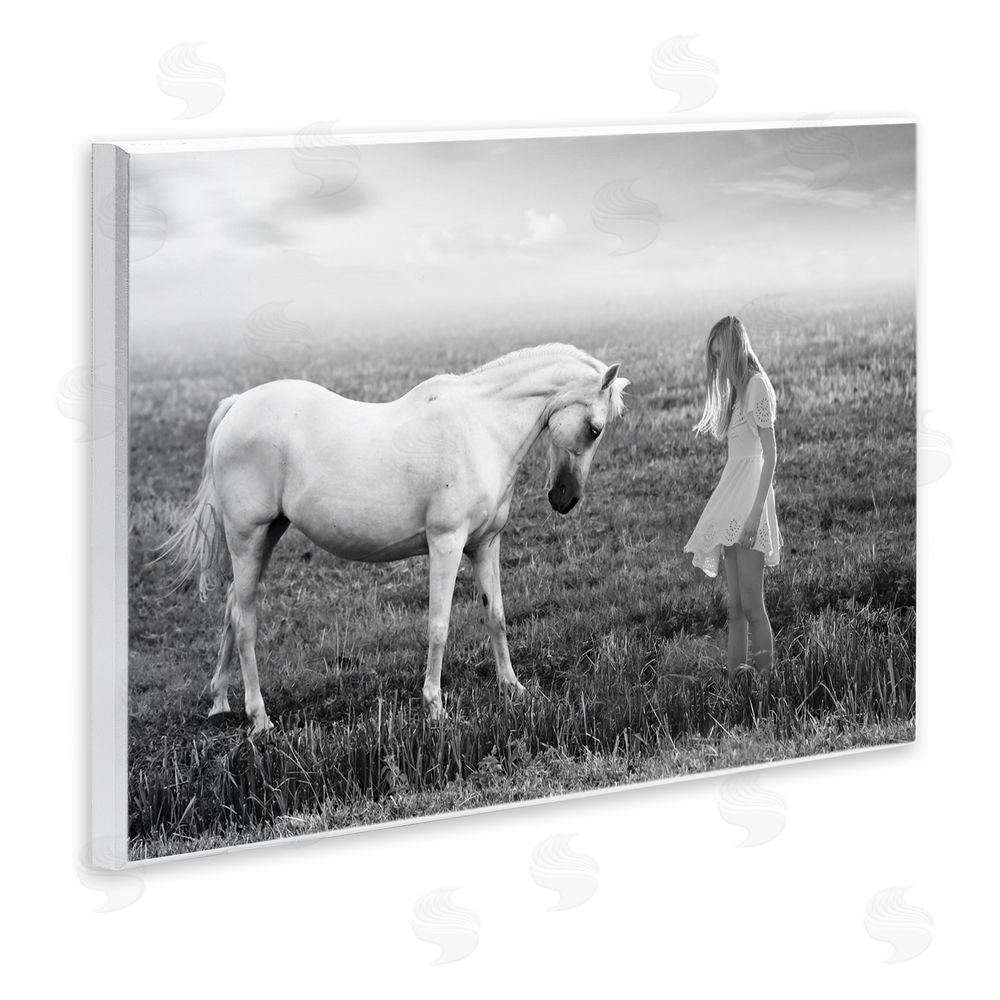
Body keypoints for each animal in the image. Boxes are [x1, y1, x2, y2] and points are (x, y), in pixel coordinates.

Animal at [160, 342, 629, 733]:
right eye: (594, 428)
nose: (564, 498)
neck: (481, 427)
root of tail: (237, 405)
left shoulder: (484, 545)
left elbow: (495, 614)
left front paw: (513, 688)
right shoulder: (446, 543)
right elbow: (439, 625)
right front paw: (435, 706)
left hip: (267, 536)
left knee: (231, 609)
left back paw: (220, 702)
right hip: (247, 537)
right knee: (245, 622)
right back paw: (259, 718)